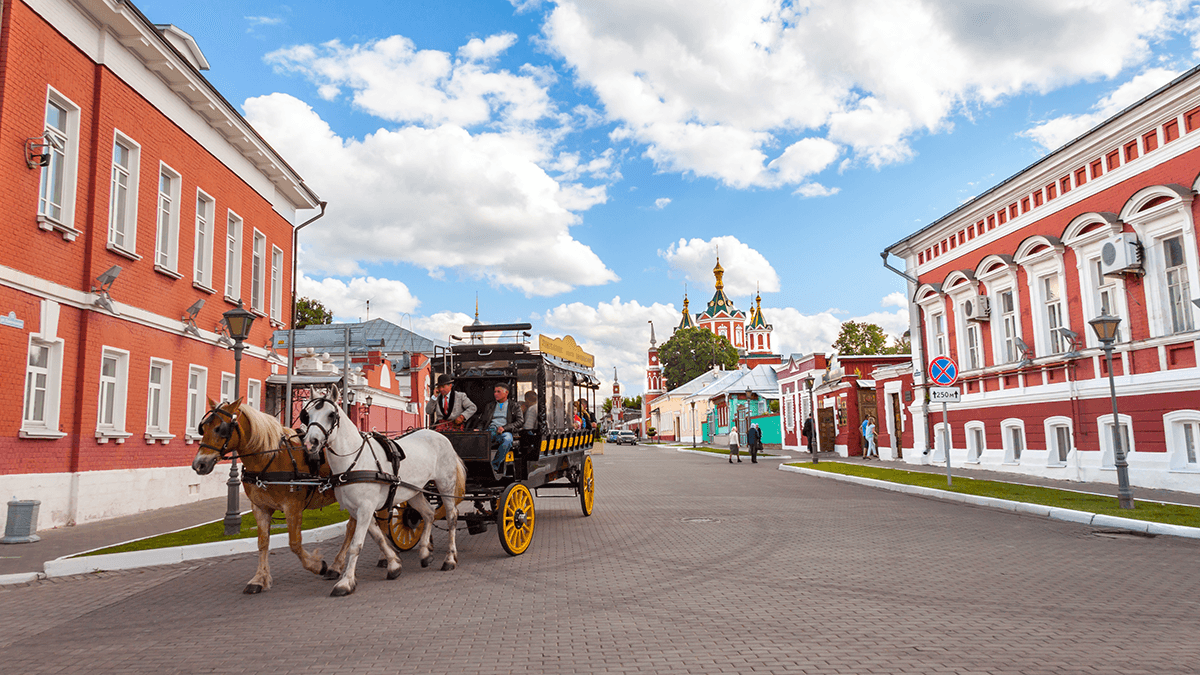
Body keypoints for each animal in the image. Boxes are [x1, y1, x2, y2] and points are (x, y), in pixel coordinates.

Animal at [192, 396, 355, 590]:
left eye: (220, 429)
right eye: (204, 428)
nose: (199, 464)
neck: (271, 457)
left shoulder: (293, 507)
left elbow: (294, 543)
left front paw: (317, 565)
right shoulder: (260, 508)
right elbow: (263, 542)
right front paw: (259, 578)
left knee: (351, 527)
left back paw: (337, 565)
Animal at [300, 393, 468, 593]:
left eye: (331, 415)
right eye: (307, 415)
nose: (311, 442)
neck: (354, 461)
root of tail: (440, 436)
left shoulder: (365, 507)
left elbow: (356, 544)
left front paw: (346, 582)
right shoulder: (356, 509)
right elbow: (378, 536)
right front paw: (394, 565)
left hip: (445, 485)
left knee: (451, 517)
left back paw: (449, 559)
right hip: (414, 491)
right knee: (428, 513)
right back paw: (425, 553)